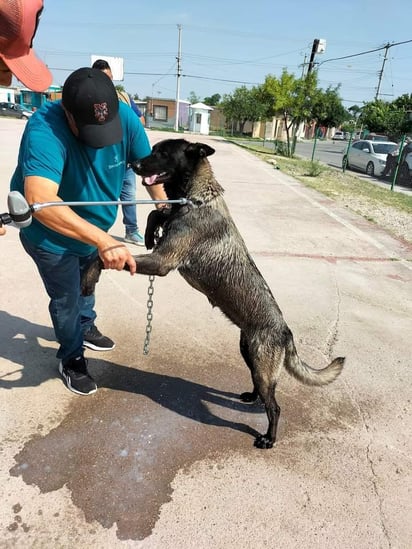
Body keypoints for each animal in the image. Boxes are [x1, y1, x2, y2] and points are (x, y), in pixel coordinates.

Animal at [81, 138, 344, 450]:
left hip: (261, 365)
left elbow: (100, 258)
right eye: (153, 149)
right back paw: (252, 397)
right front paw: (148, 231)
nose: (132, 164)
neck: (196, 198)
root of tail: (285, 331)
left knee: (275, 407)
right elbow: (158, 212)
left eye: (162, 153)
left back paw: (269, 438)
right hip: (249, 354)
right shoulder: (165, 240)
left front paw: (89, 277)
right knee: (261, 392)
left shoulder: (162, 262)